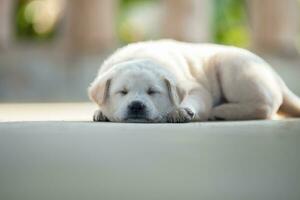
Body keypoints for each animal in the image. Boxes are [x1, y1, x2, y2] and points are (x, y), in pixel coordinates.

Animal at [88, 39, 300, 122]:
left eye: (152, 92)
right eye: (122, 92)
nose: (136, 105)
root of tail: (275, 75)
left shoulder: (197, 88)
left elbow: (194, 98)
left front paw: (182, 111)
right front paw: (100, 112)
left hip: (234, 68)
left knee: (265, 106)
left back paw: (220, 112)